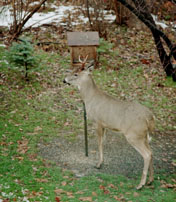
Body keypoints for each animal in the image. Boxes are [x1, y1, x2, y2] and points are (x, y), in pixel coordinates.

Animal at [63, 55, 154, 189]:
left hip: (134, 135)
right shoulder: (105, 125)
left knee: (147, 154)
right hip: (143, 135)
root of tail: (150, 117)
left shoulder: (98, 121)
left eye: (76, 74)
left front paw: (98, 164)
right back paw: (150, 180)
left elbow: (99, 143)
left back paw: (140, 185)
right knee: (151, 152)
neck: (90, 98)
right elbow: (103, 142)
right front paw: (101, 161)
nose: (64, 80)